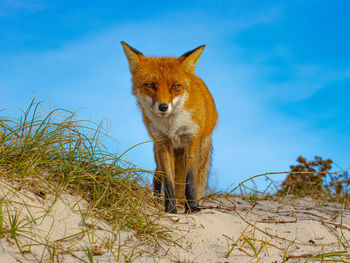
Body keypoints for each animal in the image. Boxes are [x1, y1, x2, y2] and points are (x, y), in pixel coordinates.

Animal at [121, 41, 217, 214]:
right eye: (150, 85)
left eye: (175, 86)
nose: (163, 106)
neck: (172, 126)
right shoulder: (163, 142)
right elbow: (168, 180)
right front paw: (170, 208)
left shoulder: (191, 139)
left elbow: (190, 179)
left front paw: (192, 207)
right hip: (158, 151)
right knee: (157, 174)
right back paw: (156, 200)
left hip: (202, 151)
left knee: (197, 176)